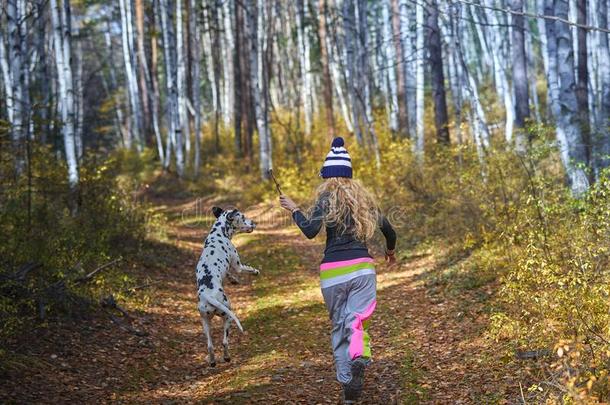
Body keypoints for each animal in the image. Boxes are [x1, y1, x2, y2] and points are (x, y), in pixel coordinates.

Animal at [197, 205, 258, 366]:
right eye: (243, 217)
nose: (254, 222)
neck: (218, 233)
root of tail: (208, 295)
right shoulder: (238, 266)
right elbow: (247, 268)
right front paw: (255, 271)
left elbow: (229, 274)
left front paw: (233, 280)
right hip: (228, 317)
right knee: (224, 342)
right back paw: (226, 357)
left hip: (206, 323)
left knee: (210, 346)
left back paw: (213, 361)